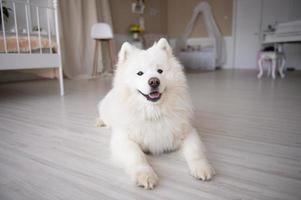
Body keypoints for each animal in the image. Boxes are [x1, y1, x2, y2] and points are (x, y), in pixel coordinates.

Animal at [97, 38, 214, 189]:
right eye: (140, 73)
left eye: (160, 71)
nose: (154, 81)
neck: (154, 112)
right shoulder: (124, 140)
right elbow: (137, 157)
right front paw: (145, 175)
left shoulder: (188, 132)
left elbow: (195, 151)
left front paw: (202, 168)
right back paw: (99, 121)